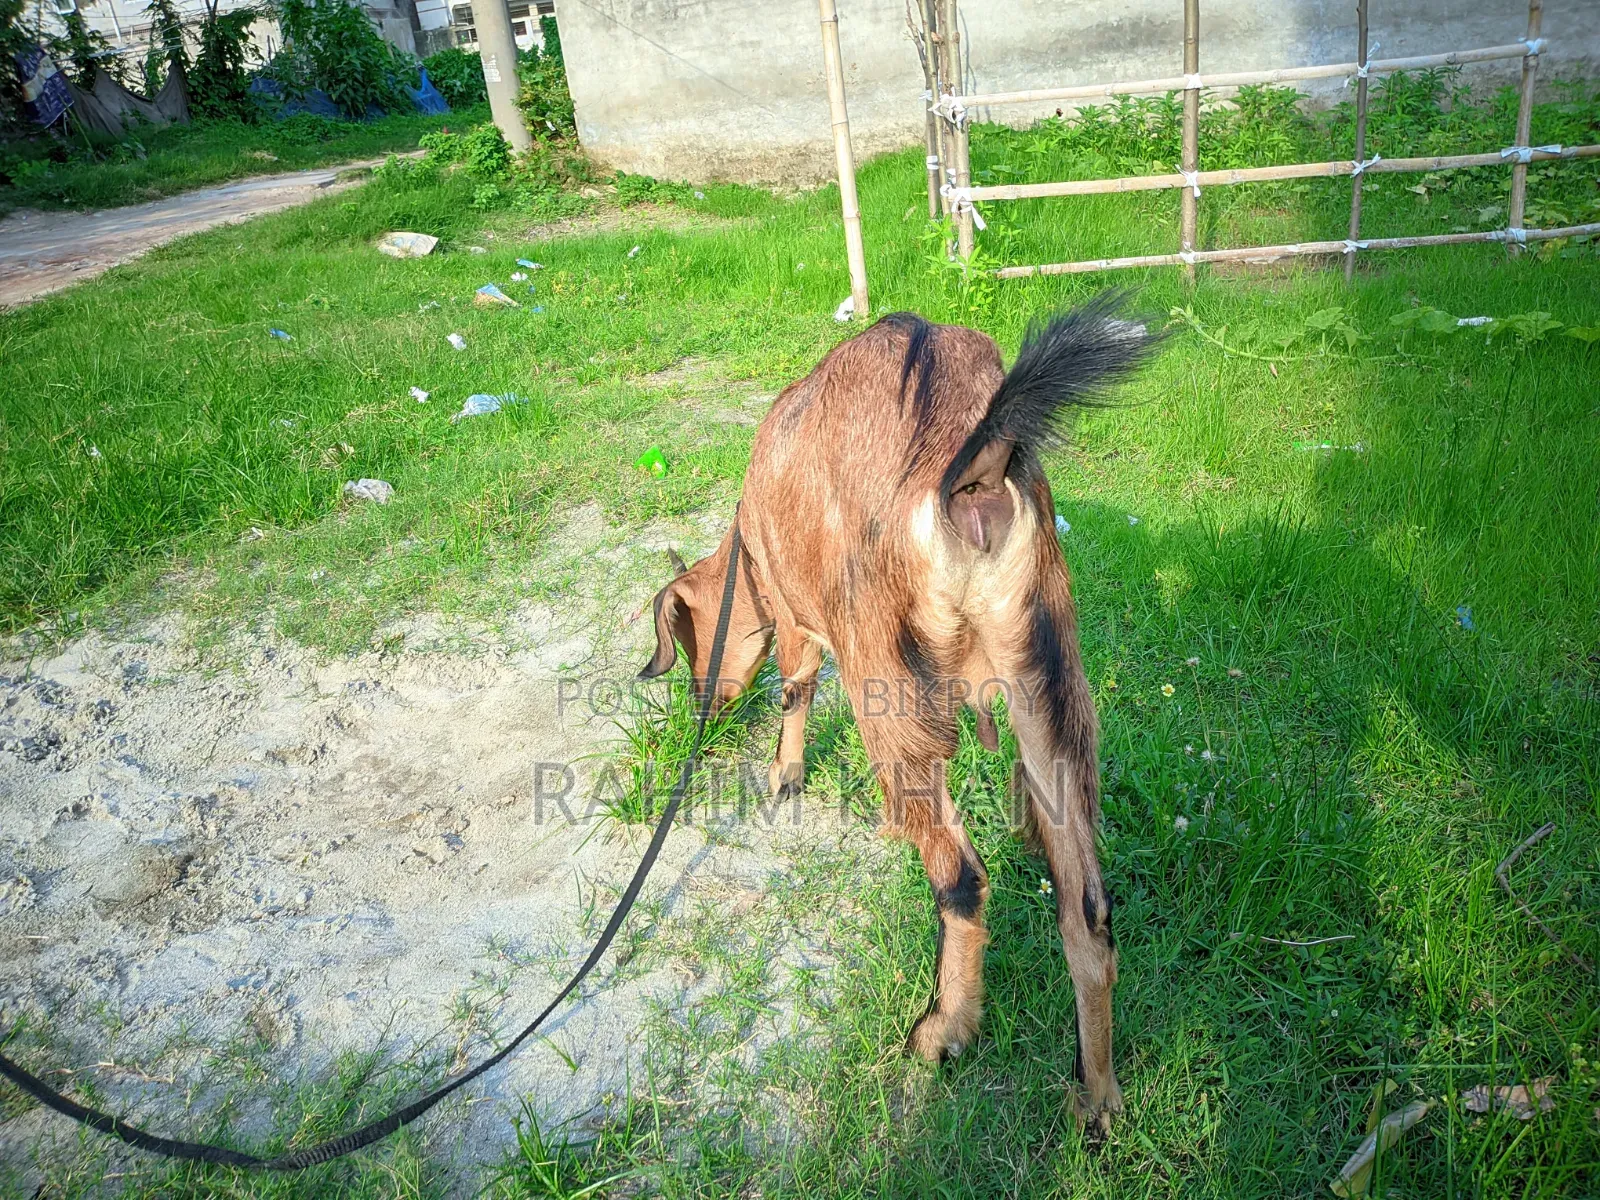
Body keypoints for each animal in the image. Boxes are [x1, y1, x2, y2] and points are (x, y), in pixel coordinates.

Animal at [638, 295, 1155, 1130]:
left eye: (685, 641)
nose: (701, 704)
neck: (752, 531)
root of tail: (970, 470)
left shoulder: (798, 617)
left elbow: (796, 685)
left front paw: (783, 774)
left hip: (893, 697)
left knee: (963, 877)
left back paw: (943, 1030)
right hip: (1048, 679)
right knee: (1088, 907)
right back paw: (1097, 1097)